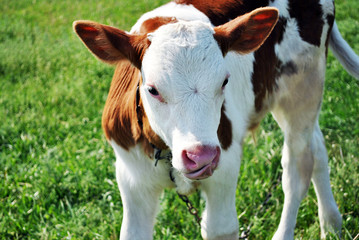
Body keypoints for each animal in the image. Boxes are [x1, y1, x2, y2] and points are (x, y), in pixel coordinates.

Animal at [74, 0, 359, 239]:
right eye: (152, 89)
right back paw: (331, 224)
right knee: (317, 148)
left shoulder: (225, 167)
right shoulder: (131, 178)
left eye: (224, 82)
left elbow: (219, 227)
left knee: (297, 168)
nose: (201, 156)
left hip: (303, 89)